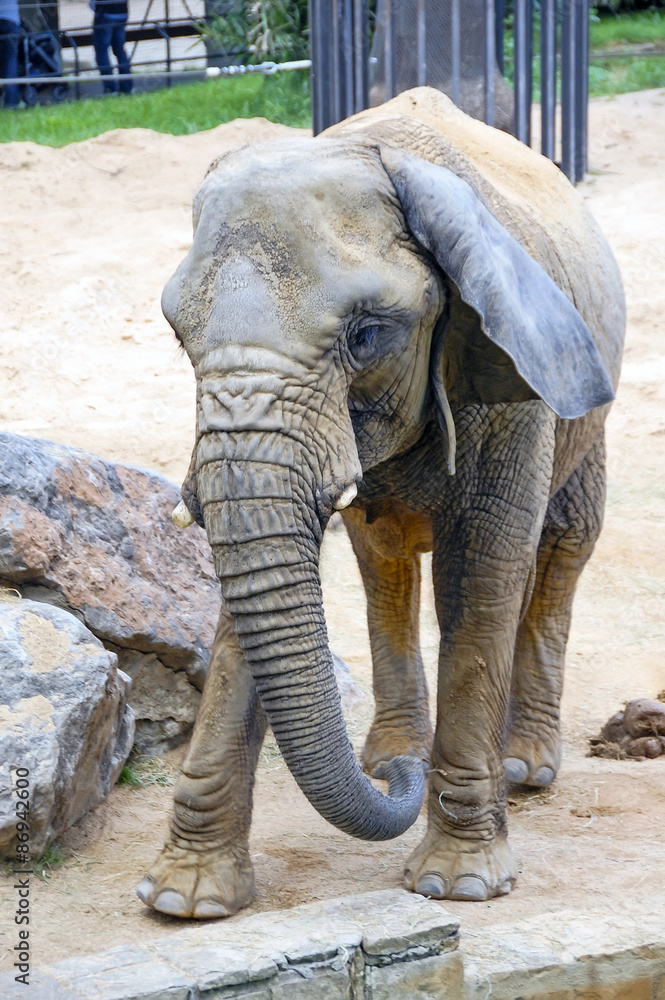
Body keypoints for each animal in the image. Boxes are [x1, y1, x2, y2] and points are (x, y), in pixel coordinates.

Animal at [134, 90, 624, 916]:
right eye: (177, 335)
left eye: (367, 335)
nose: (399, 783)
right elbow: (251, 589)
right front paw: (184, 901)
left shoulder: (510, 374)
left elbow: (482, 573)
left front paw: (459, 885)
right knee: (384, 561)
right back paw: (395, 752)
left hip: (585, 412)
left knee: (560, 549)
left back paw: (521, 767)